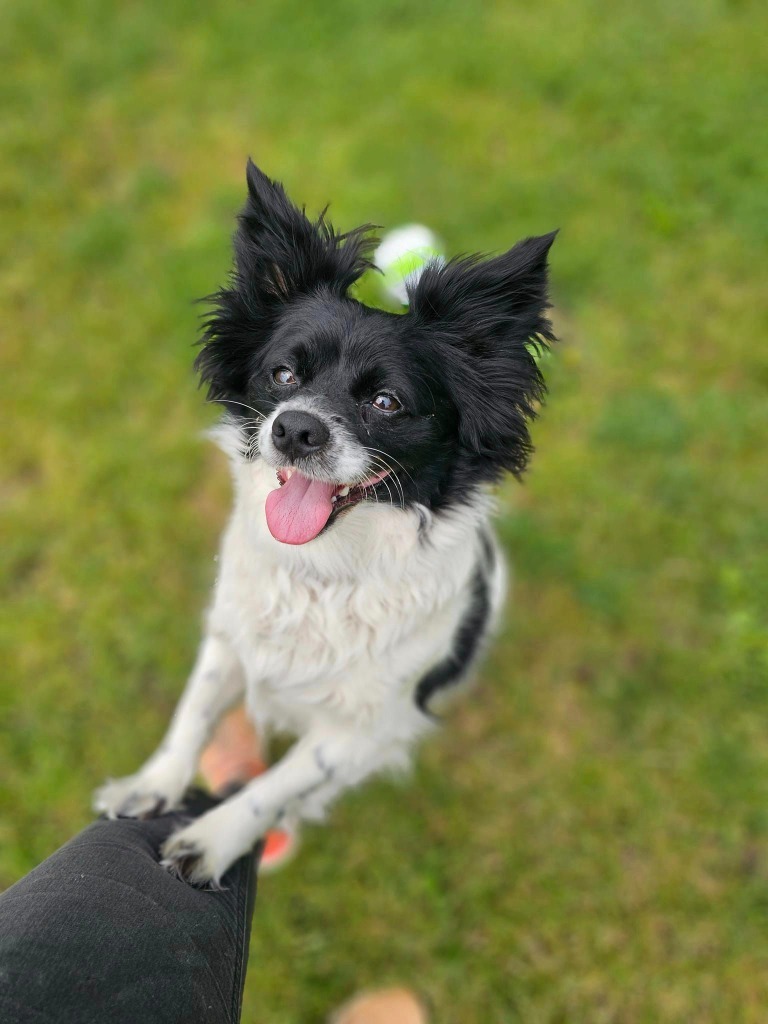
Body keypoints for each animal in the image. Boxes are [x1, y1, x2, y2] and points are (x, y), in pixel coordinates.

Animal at [94, 163, 561, 884]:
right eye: (283, 373)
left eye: (386, 402)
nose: (294, 427)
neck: (321, 571)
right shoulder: (228, 637)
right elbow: (193, 710)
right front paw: (153, 784)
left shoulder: (365, 726)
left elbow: (282, 780)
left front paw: (216, 836)